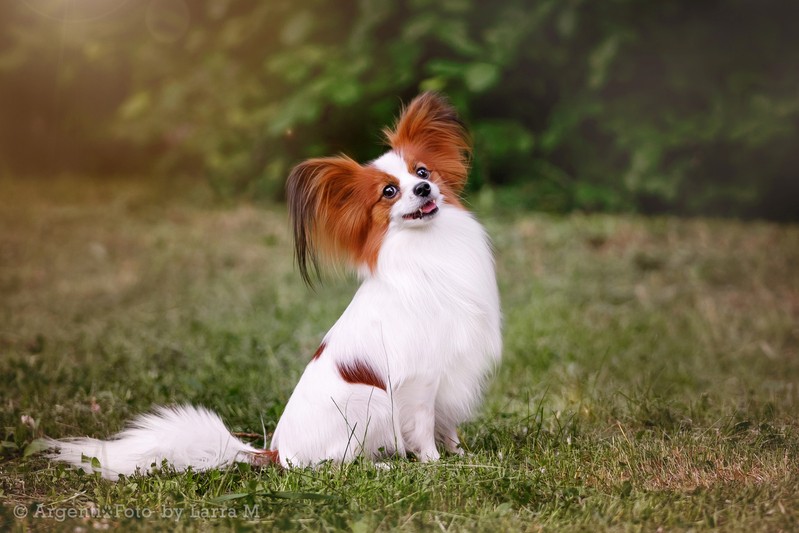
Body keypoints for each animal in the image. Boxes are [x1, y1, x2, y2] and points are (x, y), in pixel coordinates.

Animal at [45, 92, 500, 478]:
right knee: (331, 464)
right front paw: (435, 464)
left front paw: (461, 454)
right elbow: (422, 429)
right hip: (367, 401)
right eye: (389, 191)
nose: (423, 188)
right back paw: (380, 466)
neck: (430, 246)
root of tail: (274, 452)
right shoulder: (420, 378)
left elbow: (446, 424)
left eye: (422, 172)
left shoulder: (450, 372)